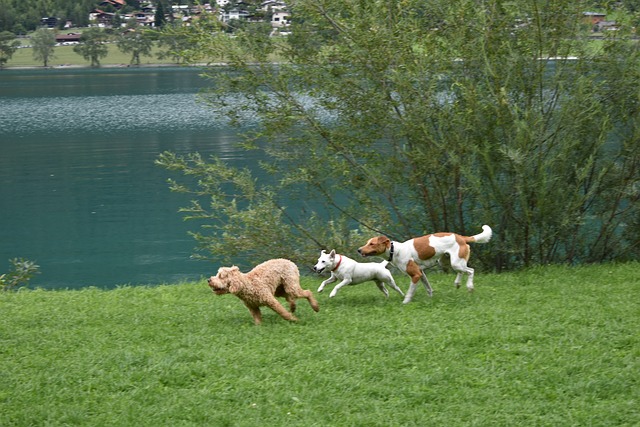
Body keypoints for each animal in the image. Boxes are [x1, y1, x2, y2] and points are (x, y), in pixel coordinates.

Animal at [358, 226, 492, 302]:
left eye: (372, 244)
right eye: (367, 243)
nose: (359, 250)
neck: (395, 250)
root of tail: (462, 237)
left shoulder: (416, 274)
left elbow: (410, 292)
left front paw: (405, 302)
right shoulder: (421, 273)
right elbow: (428, 288)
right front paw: (430, 298)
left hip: (456, 263)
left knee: (471, 271)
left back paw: (469, 286)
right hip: (447, 262)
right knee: (462, 271)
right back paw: (457, 283)